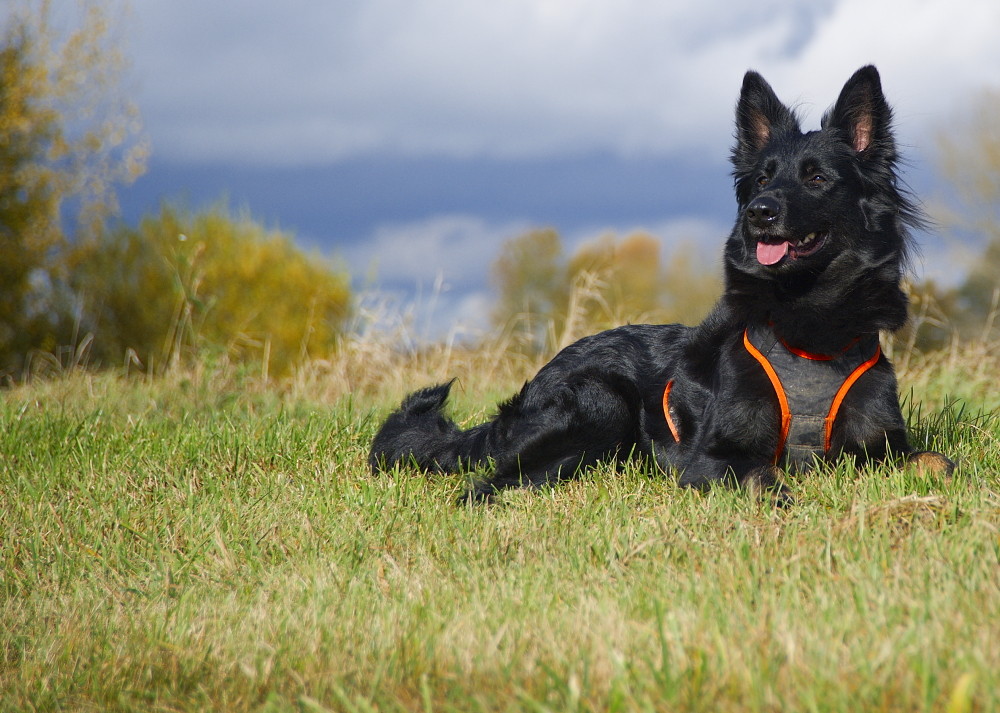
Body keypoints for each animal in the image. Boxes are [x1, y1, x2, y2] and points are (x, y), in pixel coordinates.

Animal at [368, 65, 952, 500]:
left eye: (816, 178)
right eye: (762, 179)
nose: (759, 214)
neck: (809, 318)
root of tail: (542, 375)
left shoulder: (884, 448)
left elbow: (937, 462)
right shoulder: (713, 458)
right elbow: (765, 473)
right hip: (600, 403)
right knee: (486, 484)